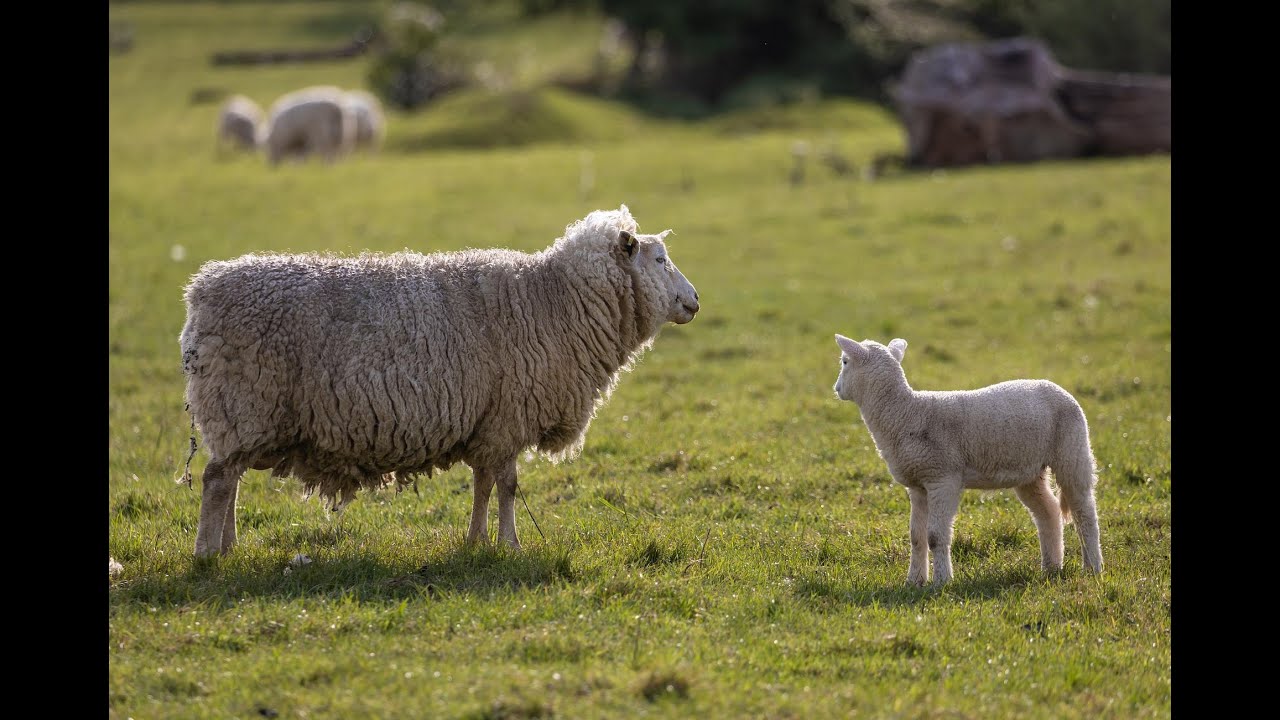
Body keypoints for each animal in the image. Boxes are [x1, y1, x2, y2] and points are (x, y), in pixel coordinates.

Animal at [829, 333, 1100, 586]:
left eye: (844, 361)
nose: (836, 388)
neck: (906, 413)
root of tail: (1058, 388)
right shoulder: (918, 484)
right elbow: (916, 537)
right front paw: (914, 582)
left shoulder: (943, 478)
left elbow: (935, 536)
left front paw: (941, 582)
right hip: (1029, 471)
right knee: (1049, 512)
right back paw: (1051, 568)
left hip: (1072, 450)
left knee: (1084, 512)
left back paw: (1093, 568)